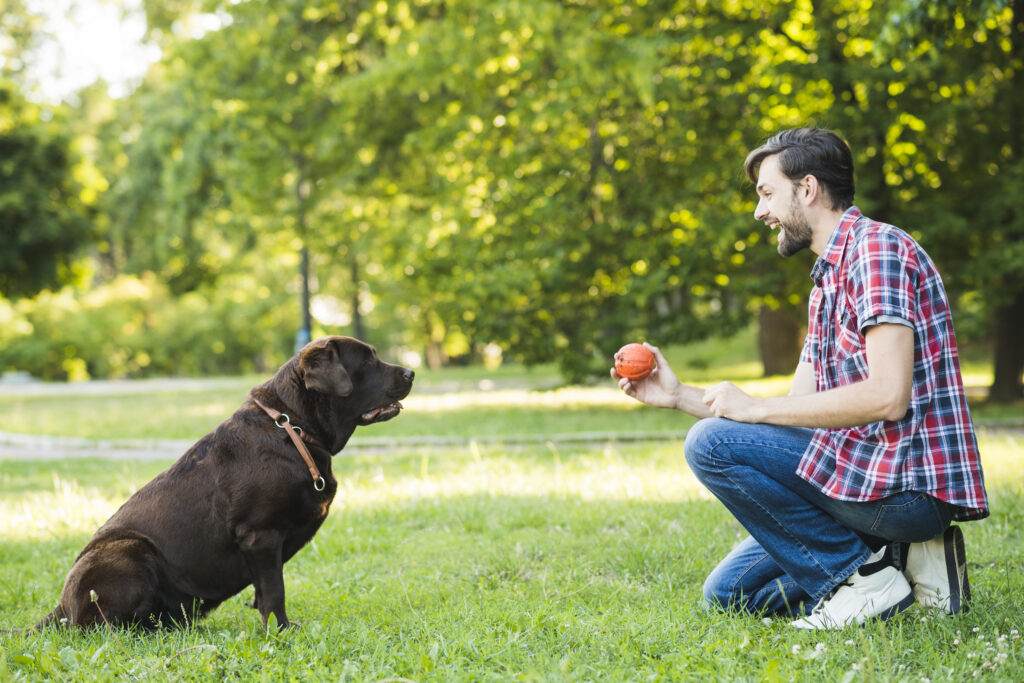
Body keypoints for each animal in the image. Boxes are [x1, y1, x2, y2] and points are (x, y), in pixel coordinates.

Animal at [34, 335, 413, 630]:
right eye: (366, 360)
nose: (411, 372)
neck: (293, 427)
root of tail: (61, 608)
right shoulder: (261, 534)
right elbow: (274, 590)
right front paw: (280, 631)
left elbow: (262, 591)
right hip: (129, 552)